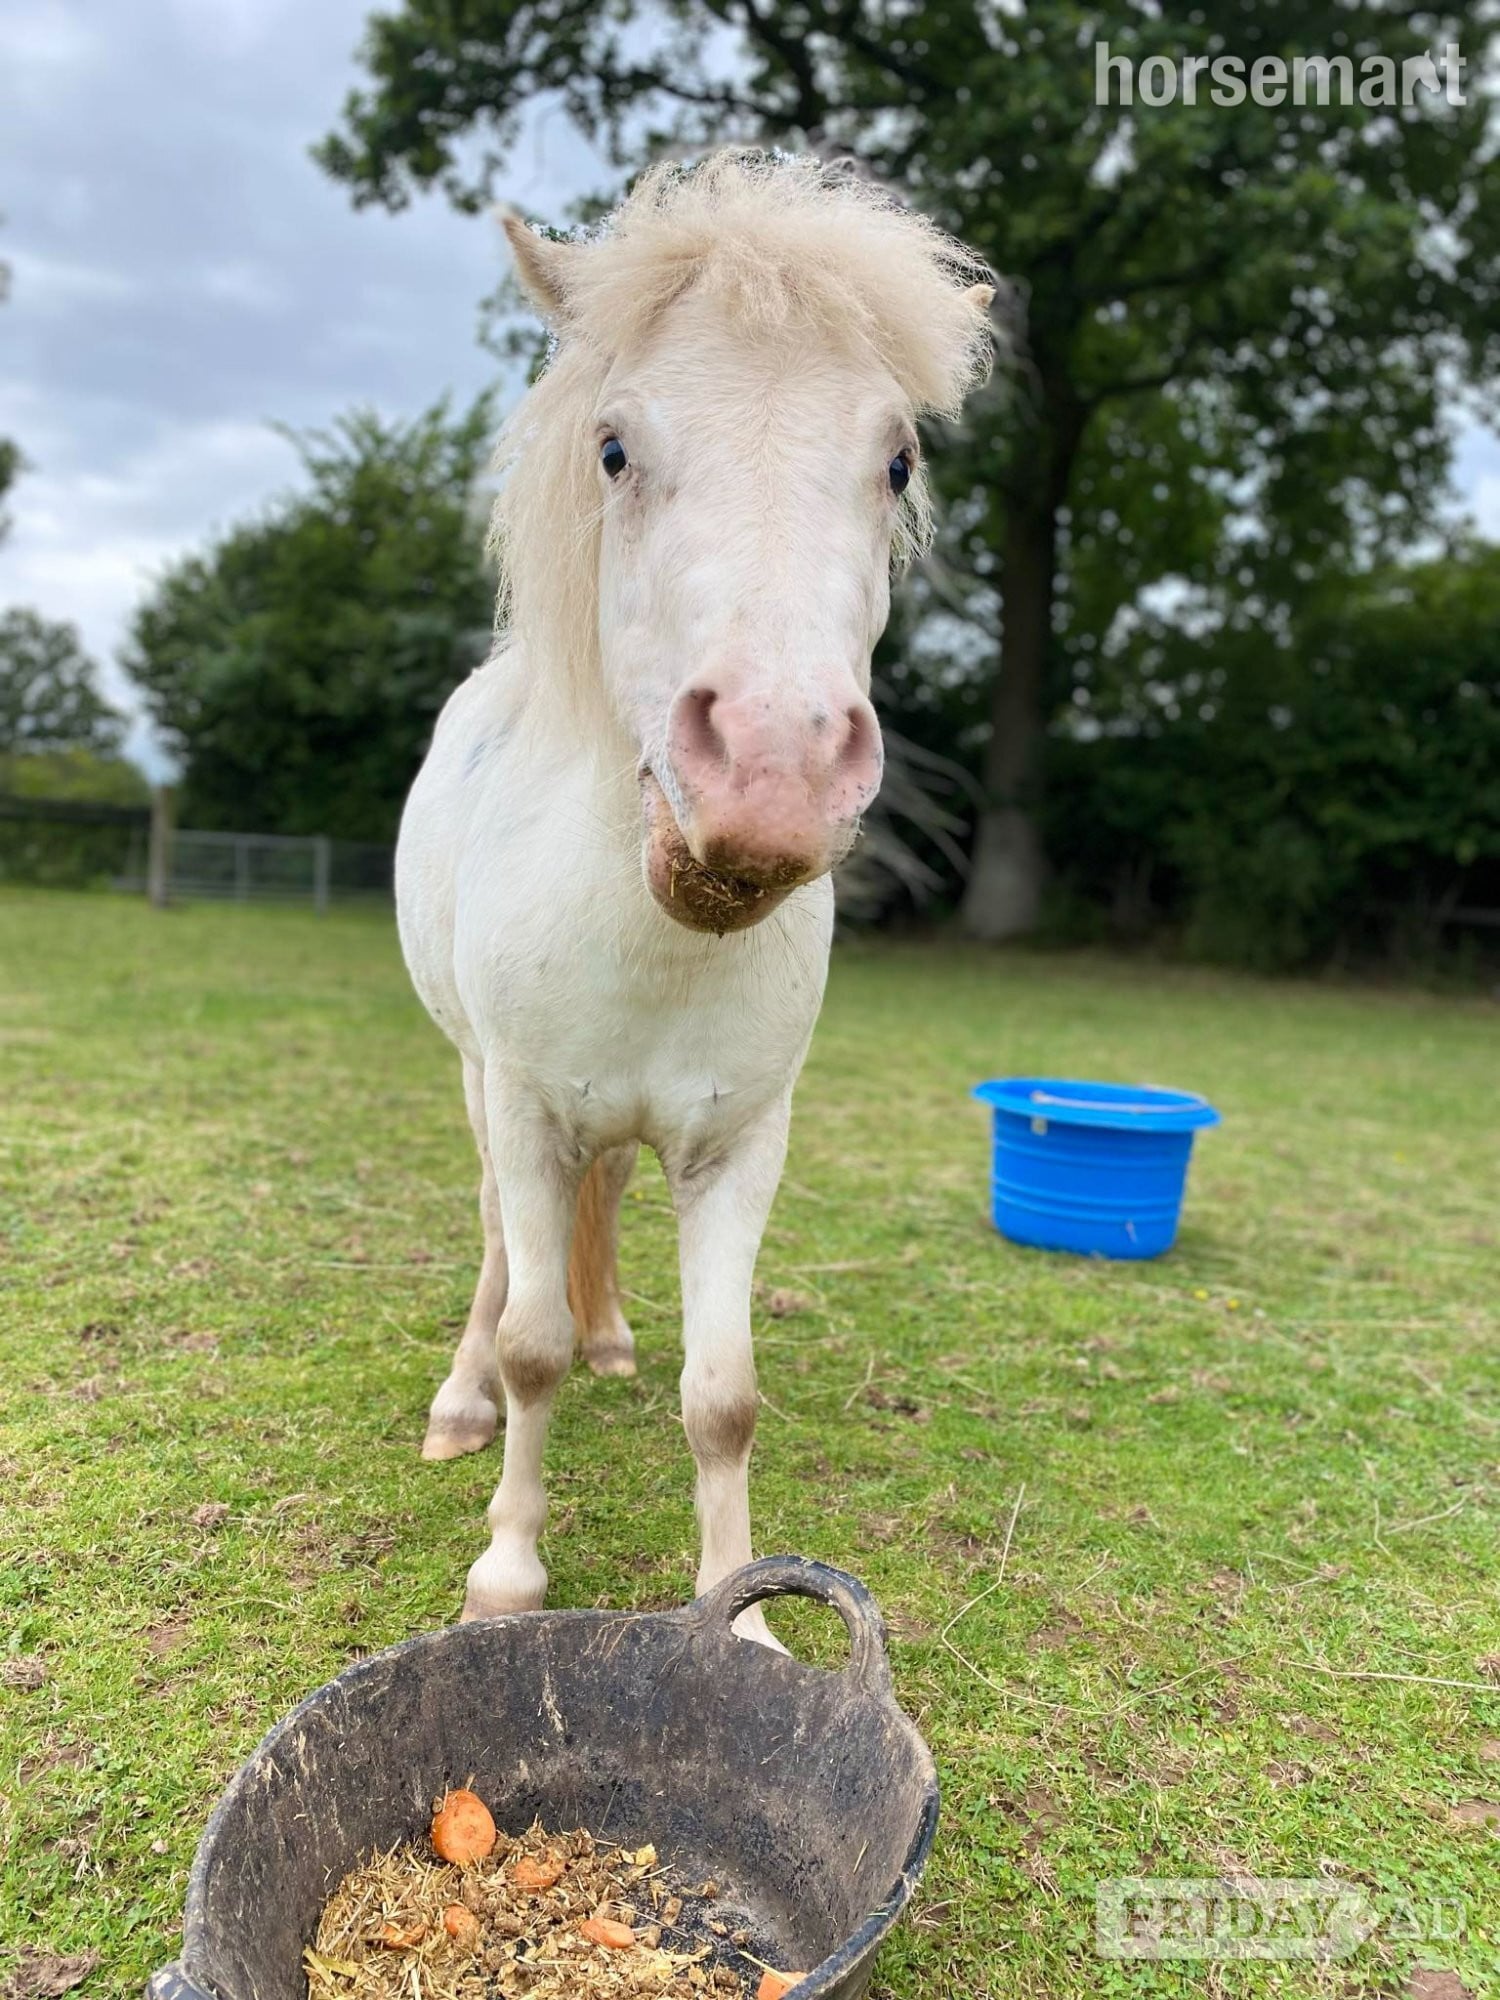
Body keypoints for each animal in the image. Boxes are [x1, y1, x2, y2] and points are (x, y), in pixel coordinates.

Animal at [396, 152, 994, 1639]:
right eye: (614, 450)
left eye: (896, 460)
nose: (775, 769)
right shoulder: (530, 1111)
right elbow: (531, 1343)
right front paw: (506, 1572)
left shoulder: (738, 1143)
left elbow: (723, 1399)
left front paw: (749, 1619)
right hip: (478, 1083)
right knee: (497, 1254)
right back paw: (458, 1403)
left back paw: (615, 1336)